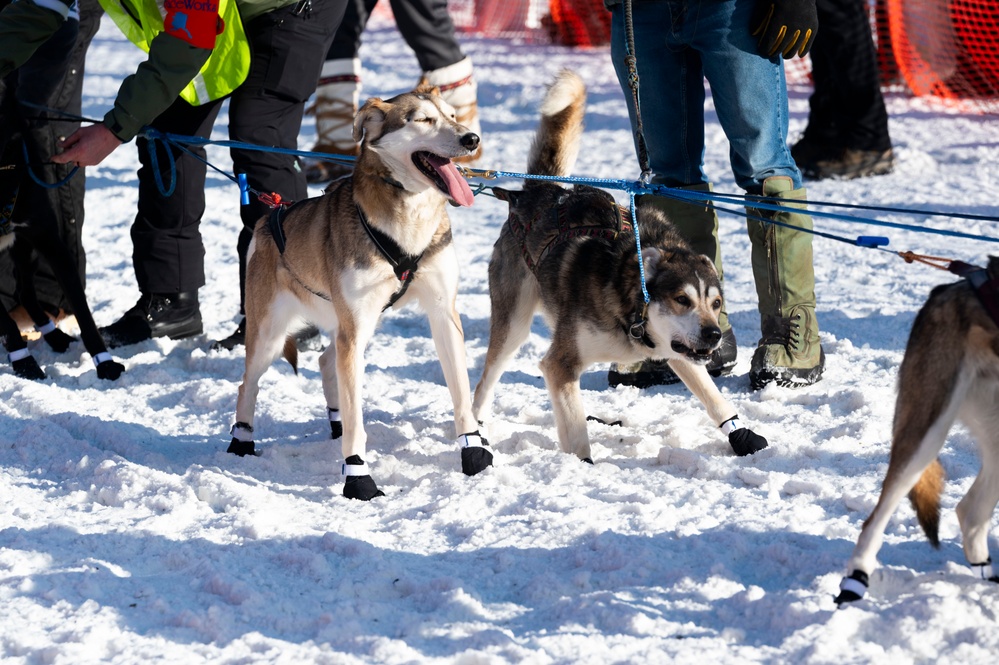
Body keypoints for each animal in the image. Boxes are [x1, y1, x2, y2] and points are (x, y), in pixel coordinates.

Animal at [472, 70, 768, 460]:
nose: (714, 334)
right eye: (682, 299)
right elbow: (576, 432)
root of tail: (541, 192)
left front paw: (741, 434)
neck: (631, 308)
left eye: (716, 303)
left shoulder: (677, 352)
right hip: (514, 325)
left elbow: (714, 398)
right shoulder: (561, 364)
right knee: (484, 383)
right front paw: (583, 466)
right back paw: (474, 427)